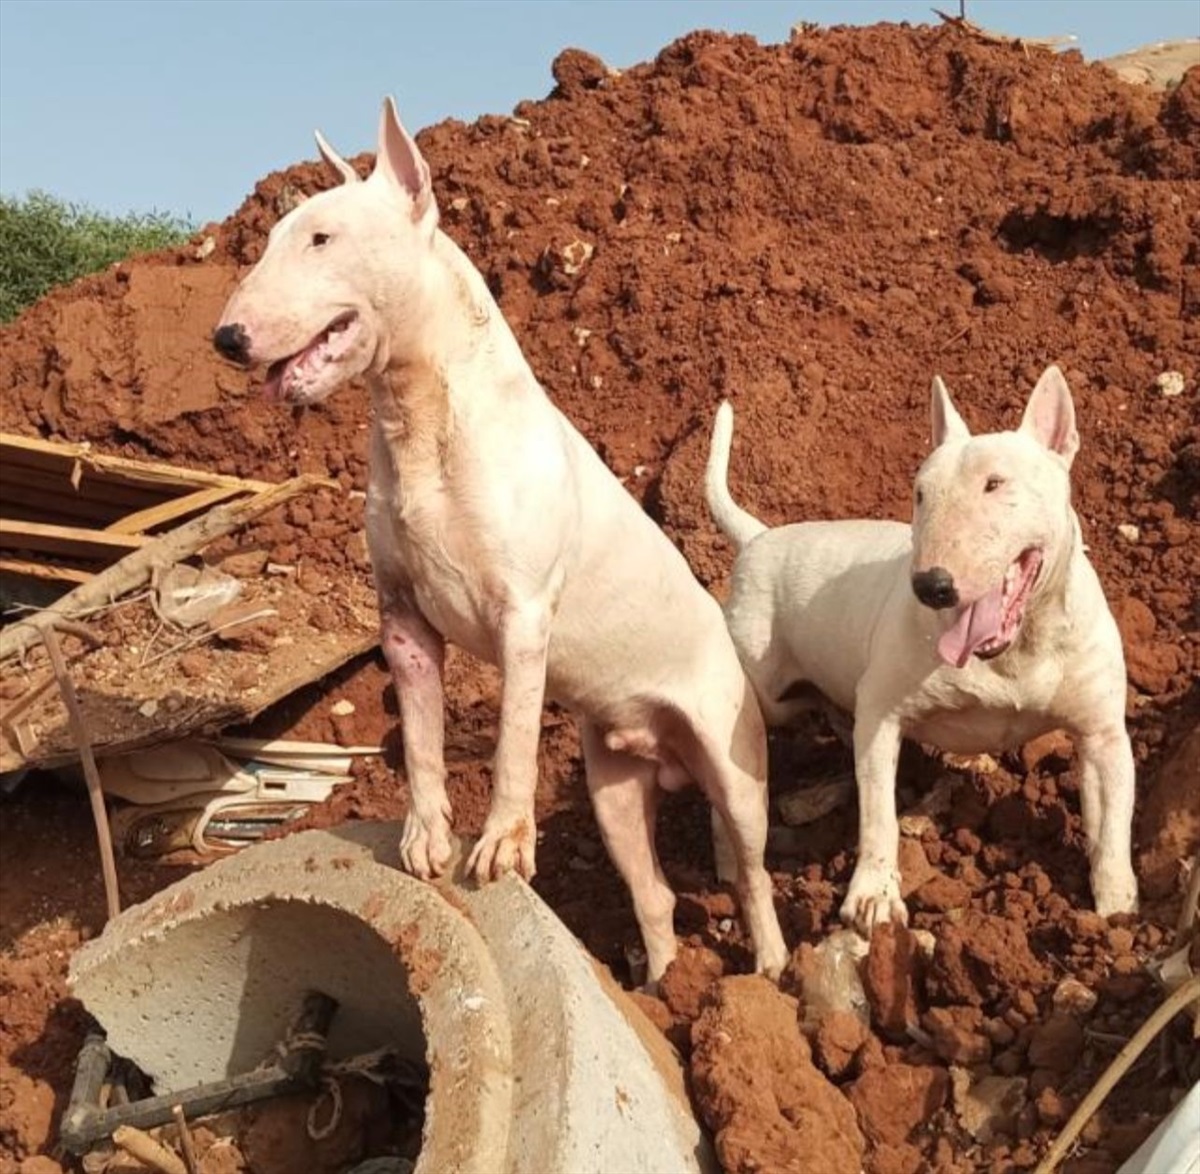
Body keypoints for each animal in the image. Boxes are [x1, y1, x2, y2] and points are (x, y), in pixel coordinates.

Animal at [214, 98, 787, 979]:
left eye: (322, 238)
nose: (228, 339)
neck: (422, 417)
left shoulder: (523, 614)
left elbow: (514, 736)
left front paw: (502, 845)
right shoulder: (403, 620)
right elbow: (421, 737)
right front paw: (425, 840)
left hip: (733, 760)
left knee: (754, 871)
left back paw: (769, 968)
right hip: (611, 784)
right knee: (653, 894)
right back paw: (662, 984)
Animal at [705, 367, 1137, 931]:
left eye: (995, 483)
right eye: (920, 494)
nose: (931, 586)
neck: (1014, 651)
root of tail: (759, 540)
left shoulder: (1104, 734)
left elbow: (1113, 824)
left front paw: (1117, 908)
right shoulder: (881, 716)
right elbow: (879, 816)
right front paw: (873, 896)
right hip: (758, 692)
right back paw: (730, 865)